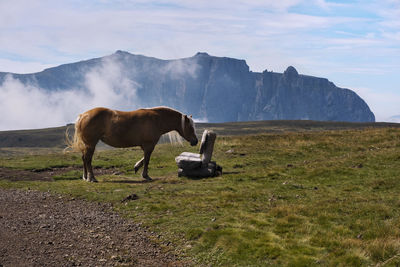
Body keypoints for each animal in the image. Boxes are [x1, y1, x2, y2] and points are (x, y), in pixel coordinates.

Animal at [69, 107, 200, 182]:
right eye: (190, 127)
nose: (195, 141)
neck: (157, 119)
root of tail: (83, 115)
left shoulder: (146, 146)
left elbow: (144, 159)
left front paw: (136, 167)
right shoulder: (149, 145)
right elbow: (147, 160)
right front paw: (145, 175)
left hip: (87, 145)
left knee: (84, 159)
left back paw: (85, 177)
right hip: (91, 144)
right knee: (88, 159)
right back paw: (91, 178)